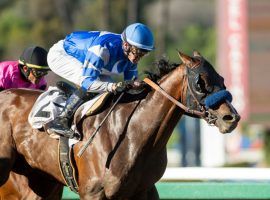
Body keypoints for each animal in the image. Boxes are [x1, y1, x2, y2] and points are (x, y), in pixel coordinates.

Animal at [0, 51, 240, 198]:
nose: (231, 118)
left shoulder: (144, 190)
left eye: (221, 78)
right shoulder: (93, 192)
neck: (134, 134)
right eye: (201, 82)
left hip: (41, 184)